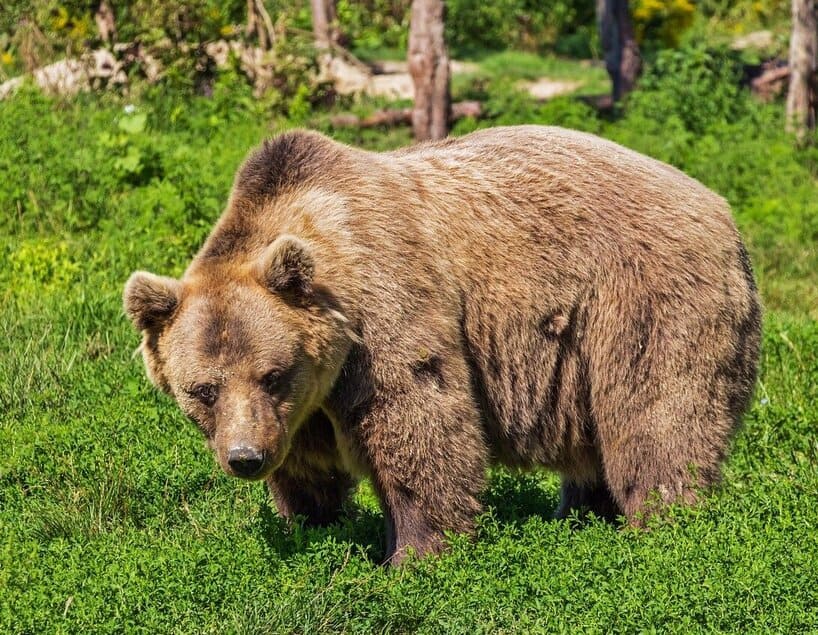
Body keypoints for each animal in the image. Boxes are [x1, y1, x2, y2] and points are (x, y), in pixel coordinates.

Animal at [124, 126, 760, 564]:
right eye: (202, 390)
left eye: (271, 373)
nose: (245, 458)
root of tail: (723, 211)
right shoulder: (302, 407)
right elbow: (308, 468)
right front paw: (313, 525)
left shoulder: (385, 313)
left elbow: (420, 424)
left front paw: (414, 555)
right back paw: (581, 515)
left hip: (643, 300)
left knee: (656, 418)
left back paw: (663, 526)